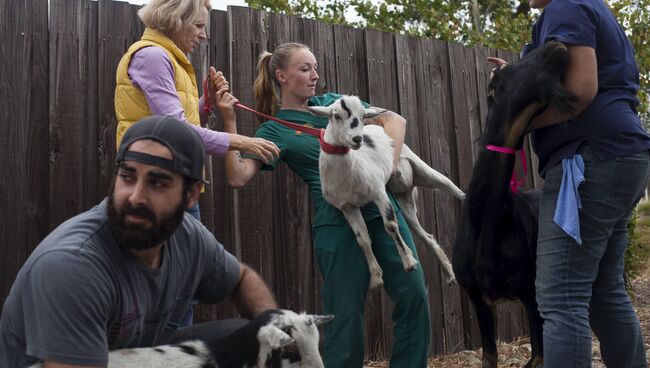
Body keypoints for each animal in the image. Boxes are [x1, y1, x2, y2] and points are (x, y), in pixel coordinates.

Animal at [308, 96, 464, 288]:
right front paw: (376, 279)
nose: (357, 139)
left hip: (425, 171)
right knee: (426, 236)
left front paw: (409, 263)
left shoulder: (378, 191)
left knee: (456, 190)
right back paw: (450, 275)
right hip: (404, 202)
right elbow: (363, 239)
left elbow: (389, 225)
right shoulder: (348, 207)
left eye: (363, 115)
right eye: (336, 115)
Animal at [450, 41, 572, 368]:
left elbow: (539, 357)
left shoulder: (531, 295)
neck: (487, 222)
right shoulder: (477, 298)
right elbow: (489, 357)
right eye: (505, 72)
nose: (554, 45)